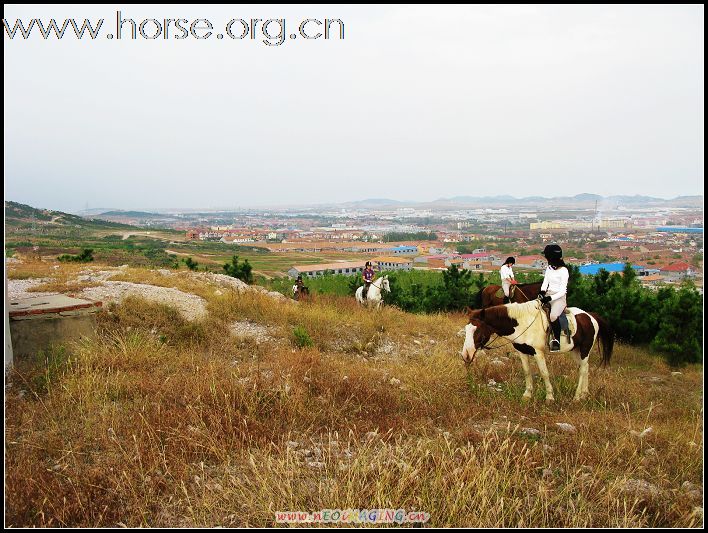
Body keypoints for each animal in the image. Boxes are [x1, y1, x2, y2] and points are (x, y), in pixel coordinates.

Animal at [462, 300, 612, 400]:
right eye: (466, 329)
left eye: (477, 330)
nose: (466, 354)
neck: (523, 323)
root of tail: (591, 316)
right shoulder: (522, 351)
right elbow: (527, 372)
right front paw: (527, 395)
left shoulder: (538, 353)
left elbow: (544, 373)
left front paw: (549, 397)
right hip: (576, 350)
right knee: (585, 368)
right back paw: (584, 394)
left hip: (585, 349)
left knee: (582, 370)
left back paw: (576, 397)